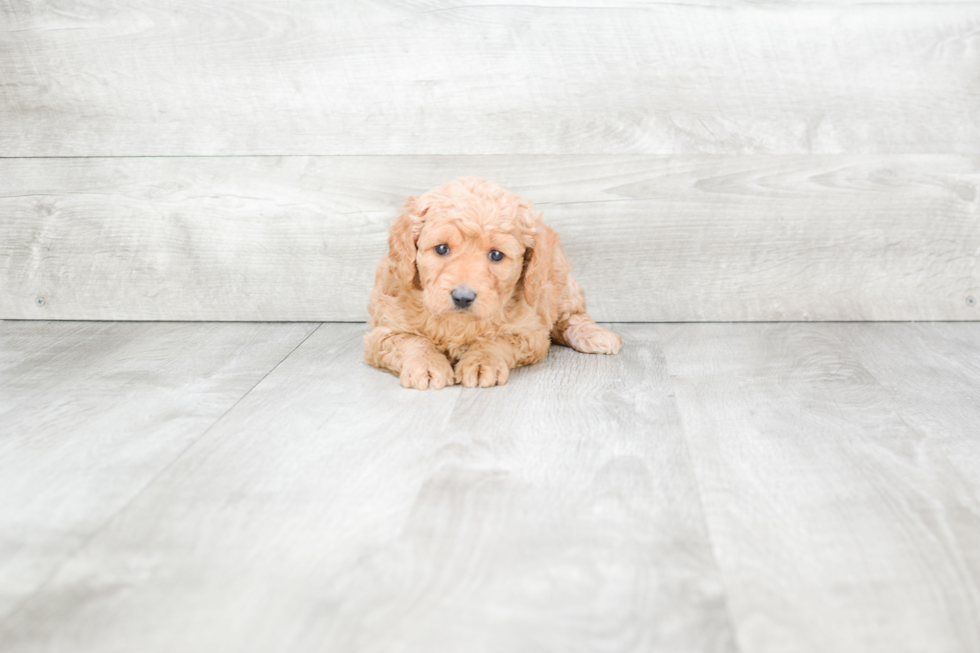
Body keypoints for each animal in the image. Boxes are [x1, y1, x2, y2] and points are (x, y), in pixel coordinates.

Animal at [364, 174, 624, 388]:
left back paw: (596, 336)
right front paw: (426, 366)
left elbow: (496, 342)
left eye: (496, 255)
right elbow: (412, 342)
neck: (459, 324)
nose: (463, 297)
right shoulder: (384, 331)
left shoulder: (528, 332)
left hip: (559, 277)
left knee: (571, 315)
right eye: (441, 248)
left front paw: (481, 364)